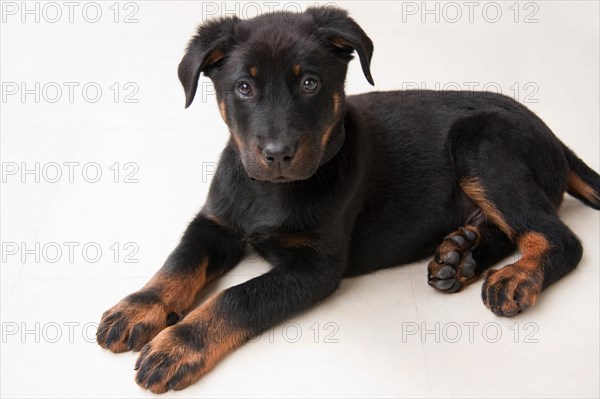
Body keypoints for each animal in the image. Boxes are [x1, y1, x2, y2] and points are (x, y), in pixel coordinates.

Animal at [96, 6, 596, 394]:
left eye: (310, 84)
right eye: (244, 87)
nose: (278, 154)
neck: (270, 191)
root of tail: (555, 137)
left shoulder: (315, 267)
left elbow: (238, 297)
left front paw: (180, 343)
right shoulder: (215, 222)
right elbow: (180, 260)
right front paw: (139, 306)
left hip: (482, 142)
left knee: (558, 237)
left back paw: (516, 276)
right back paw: (461, 255)